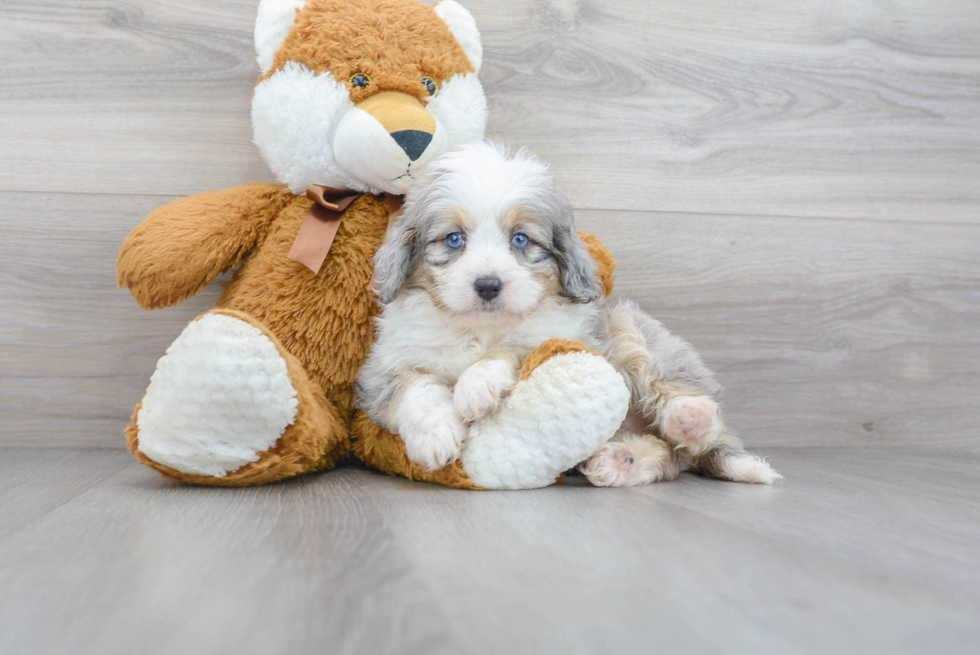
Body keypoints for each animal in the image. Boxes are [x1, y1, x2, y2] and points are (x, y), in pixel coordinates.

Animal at [354, 144, 780, 486]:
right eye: (454, 239)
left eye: (521, 239)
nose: (488, 285)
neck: (480, 329)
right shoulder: (382, 368)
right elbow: (414, 388)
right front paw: (436, 435)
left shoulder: (567, 335)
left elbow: (518, 348)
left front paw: (478, 383)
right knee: (671, 456)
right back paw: (621, 461)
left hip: (630, 327)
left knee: (688, 428)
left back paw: (690, 416)